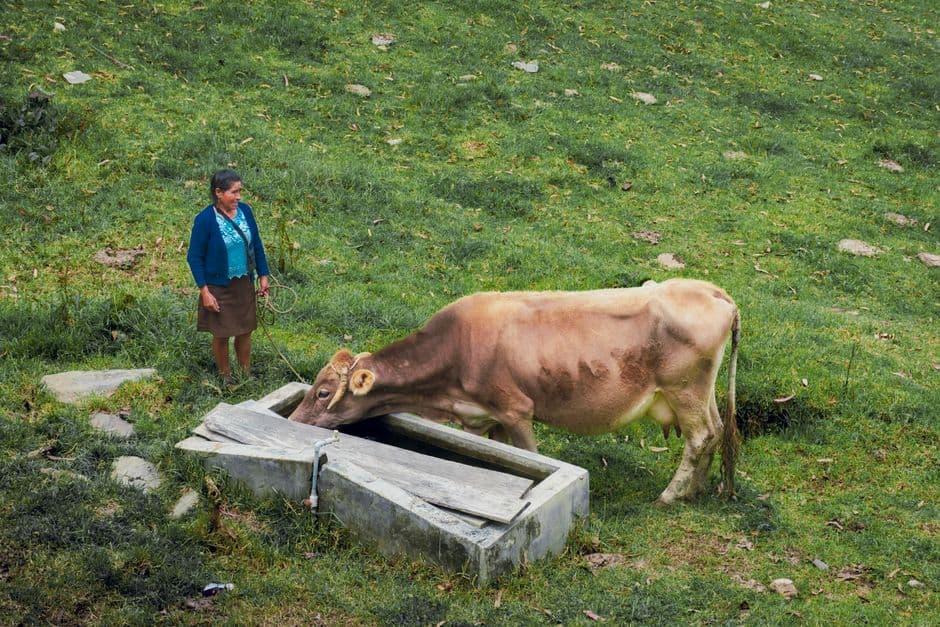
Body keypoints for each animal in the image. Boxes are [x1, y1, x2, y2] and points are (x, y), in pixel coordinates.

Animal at [289, 278, 740, 505]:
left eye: (324, 392)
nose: (292, 420)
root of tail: (713, 291)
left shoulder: (516, 408)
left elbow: (529, 457)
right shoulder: (480, 418)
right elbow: (494, 458)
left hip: (684, 389)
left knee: (700, 437)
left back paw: (669, 496)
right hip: (700, 392)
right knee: (715, 432)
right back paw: (695, 490)